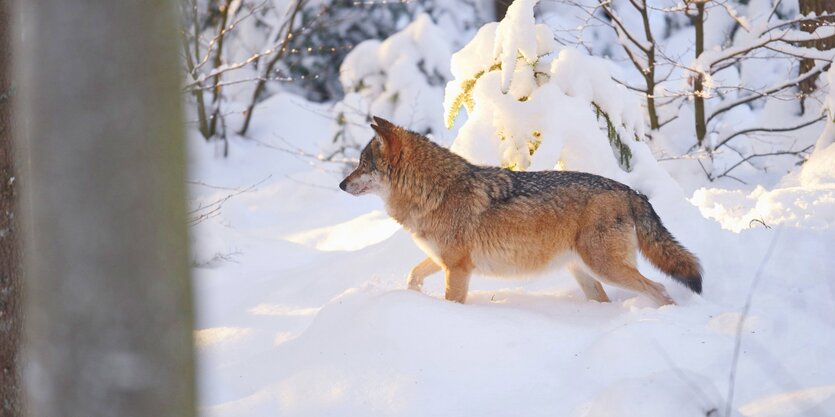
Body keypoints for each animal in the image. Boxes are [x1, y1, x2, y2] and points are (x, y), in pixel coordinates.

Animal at [336, 115, 704, 304]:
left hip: (605, 268)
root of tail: (630, 191)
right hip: (586, 275)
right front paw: (411, 297)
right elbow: (413, 274)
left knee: (659, 289)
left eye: (361, 164)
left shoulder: (458, 268)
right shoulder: (444, 260)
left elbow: (451, 300)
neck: (435, 192)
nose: (340, 185)